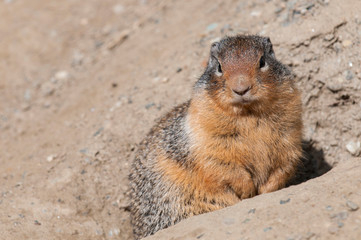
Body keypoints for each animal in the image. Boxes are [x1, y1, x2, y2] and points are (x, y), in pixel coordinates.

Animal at [129, 34, 300, 239]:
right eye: (219, 66)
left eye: (262, 61)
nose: (241, 88)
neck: (247, 114)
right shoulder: (205, 141)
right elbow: (221, 168)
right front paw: (247, 190)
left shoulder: (290, 134)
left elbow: (284, 165)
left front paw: (267, 189)